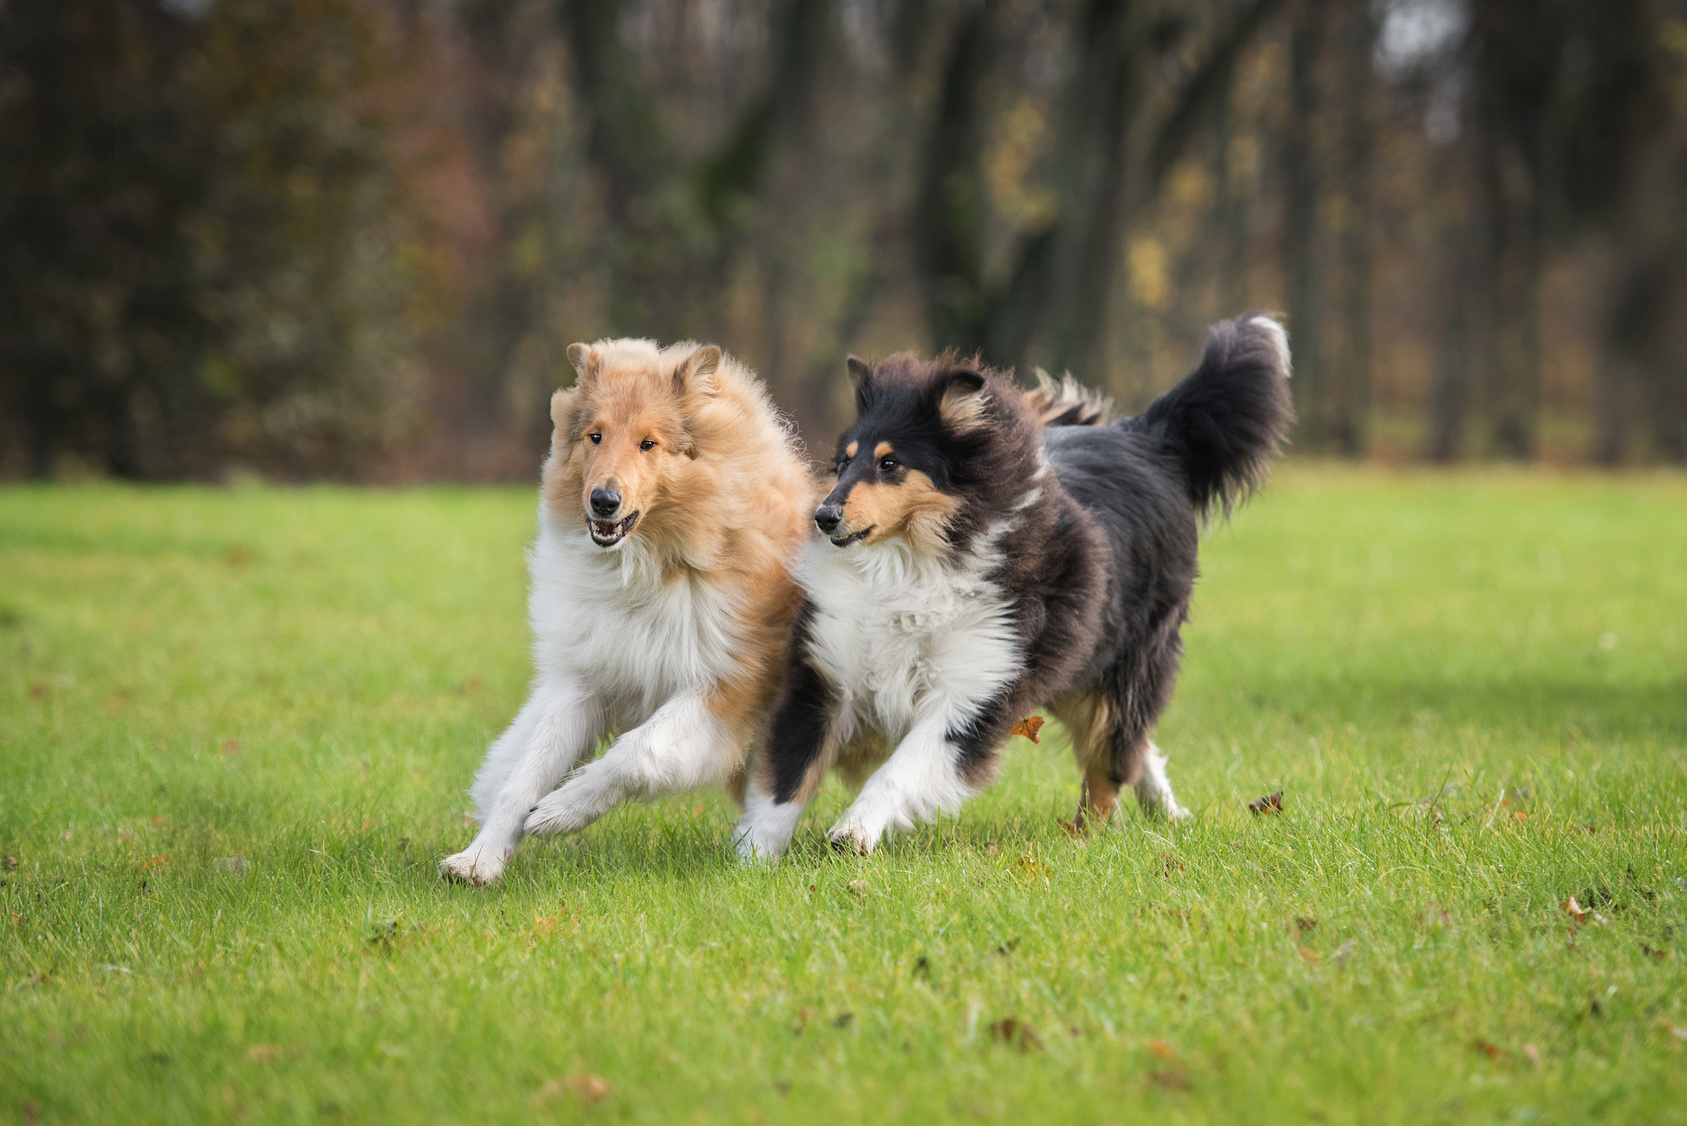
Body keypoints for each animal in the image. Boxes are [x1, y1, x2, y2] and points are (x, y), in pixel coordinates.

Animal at [445, 339, 813, 884]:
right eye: (595, 436)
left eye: (648, 443)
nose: (603, 501)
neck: (647, 566)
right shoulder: (582, 683)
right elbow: (526, 775)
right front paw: (480, 859)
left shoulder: (723, 690)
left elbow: (637, 750)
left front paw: (559, 811)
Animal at [732, 312, 1295, 857]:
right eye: (844, 460)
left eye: (889, 463)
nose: (824, 516)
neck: (911, 564)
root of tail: (1148, 436)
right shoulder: (828, 677)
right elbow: (787, 778)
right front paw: (751, 859)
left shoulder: (971, 691)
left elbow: (900, 770)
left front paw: (854, 831)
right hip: (1073, 662)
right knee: (1135, 747)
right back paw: (1166, 811)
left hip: (1121, 663)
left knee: (1111, 759)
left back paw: (1086, 840)